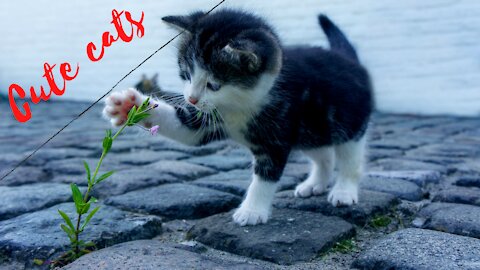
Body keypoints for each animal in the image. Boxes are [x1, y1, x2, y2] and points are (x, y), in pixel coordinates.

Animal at [103, 8, 376, 226]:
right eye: (186, 75)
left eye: (213, 85)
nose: (191, 99)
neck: (240, 104)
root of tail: (349, 59)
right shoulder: (208, 119)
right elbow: (186, 128)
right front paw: (129, 105)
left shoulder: (277, 133)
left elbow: (265, 175)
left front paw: (252, 211)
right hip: (311, 129)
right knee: (323, 154)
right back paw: (315, 183)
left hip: (348, 122)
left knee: (350, 158)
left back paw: (343, 191)